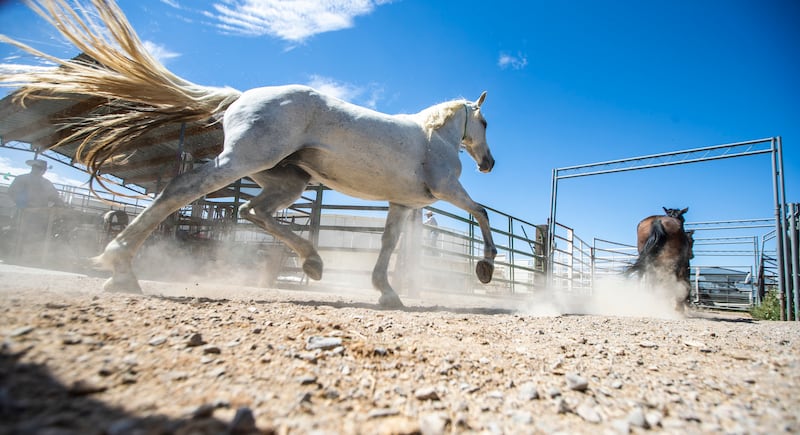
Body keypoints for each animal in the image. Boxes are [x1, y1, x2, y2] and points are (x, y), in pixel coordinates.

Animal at [0, 0, 497, 309]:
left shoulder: (402, 204)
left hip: (288, 178)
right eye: (486, 124)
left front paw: (386, 293)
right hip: (243, 162)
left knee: (251, 210)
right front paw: (487, 267)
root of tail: (241, 98)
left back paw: (313, 262)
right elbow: (482, 212)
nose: (489, 163)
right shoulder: (447, 188)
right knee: (184, 190)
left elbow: (388, 245)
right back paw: (120, 267)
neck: (433, 137)